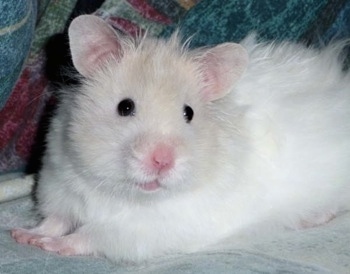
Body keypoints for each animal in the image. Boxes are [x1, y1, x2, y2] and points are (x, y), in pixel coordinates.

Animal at [10, 15, 350, 264]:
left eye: (189, 113)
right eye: (125, 107)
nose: (162, 161)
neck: (122, 192)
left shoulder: (145, 231)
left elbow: (87, 236)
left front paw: (51, 246)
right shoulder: (61, 183)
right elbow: (55, 219)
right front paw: (25, 235)